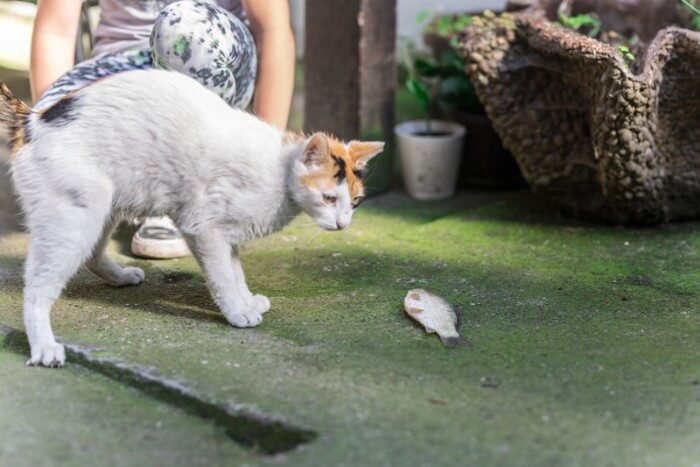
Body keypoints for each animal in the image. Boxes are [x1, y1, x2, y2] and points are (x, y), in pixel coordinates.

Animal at [0, 69, 382, 370]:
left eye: (354, 202)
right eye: (329, 198)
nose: (343, 224)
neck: (279, 173)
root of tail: (34, 120)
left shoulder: (227, 236)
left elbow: (236, 272)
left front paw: (247, 300)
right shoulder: (202, 227)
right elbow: (222, 278)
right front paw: (237, 313)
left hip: (103, 207)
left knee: (93, 255)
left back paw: (121, 276)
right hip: (75, 217)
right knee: (37, 288)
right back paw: (44, 347)